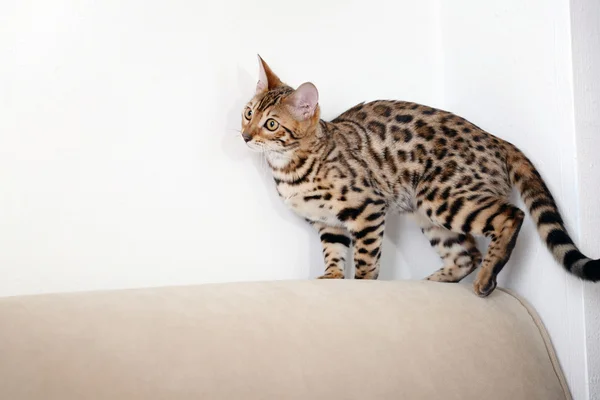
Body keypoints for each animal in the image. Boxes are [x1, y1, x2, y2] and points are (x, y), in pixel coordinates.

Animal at [241, 55, 596, 296]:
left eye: (270, 124)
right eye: (248, 113)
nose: (244, 136)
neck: (288, 166)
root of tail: (497, 139)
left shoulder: (368, 208)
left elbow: (366, 258)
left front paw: (362, 285)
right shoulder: (327, 223)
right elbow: (334, 254)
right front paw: (331, 279)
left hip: (440, 197)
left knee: (511, 216)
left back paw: (485, 278)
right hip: (427, 212)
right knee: (466, 255)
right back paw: (431, 285)